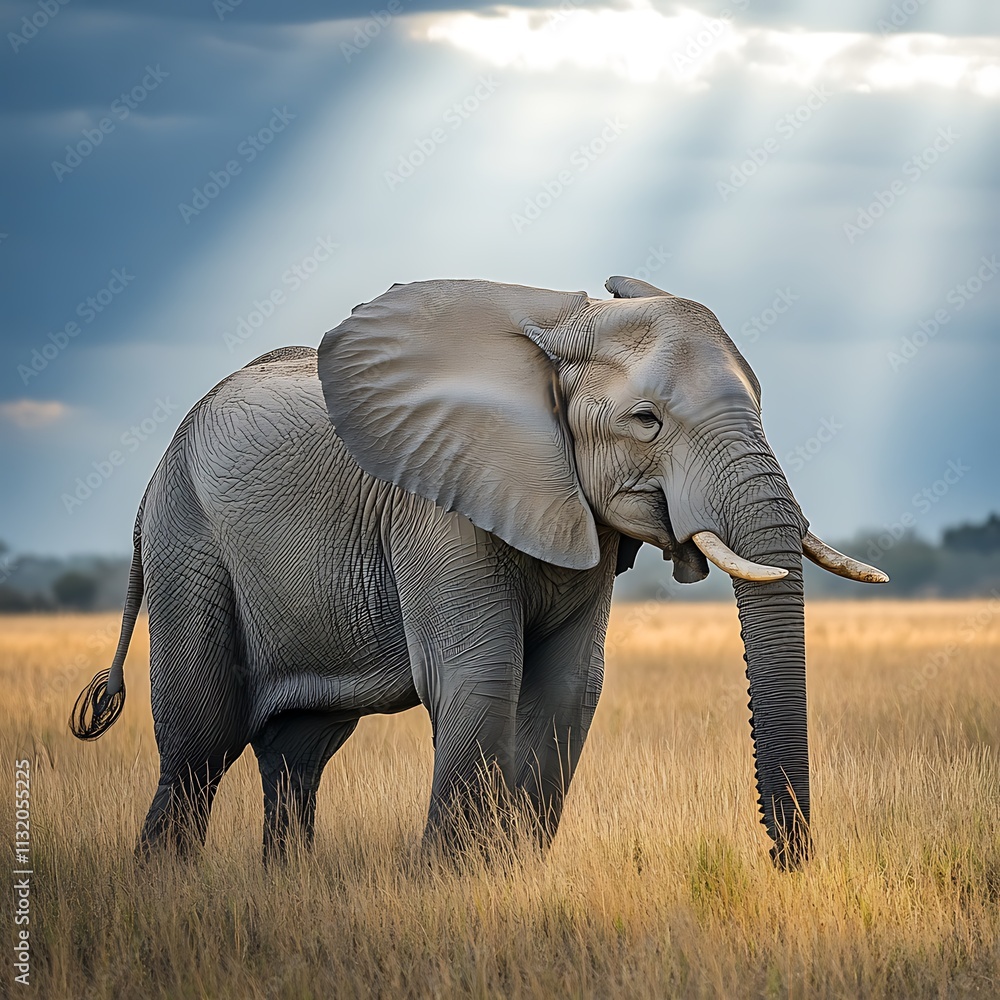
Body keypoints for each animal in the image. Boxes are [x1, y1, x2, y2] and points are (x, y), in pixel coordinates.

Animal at [70, 275, 887, 868]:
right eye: (646, 420)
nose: (785, 862)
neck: (561, 326)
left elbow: (569, 688)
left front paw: (509, 874)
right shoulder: (437, 502)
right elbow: (482, 673)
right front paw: (443, 881)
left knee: (299, 749)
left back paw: (286, 883)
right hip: (189, 538)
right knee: (200, 742)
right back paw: (165, 883)